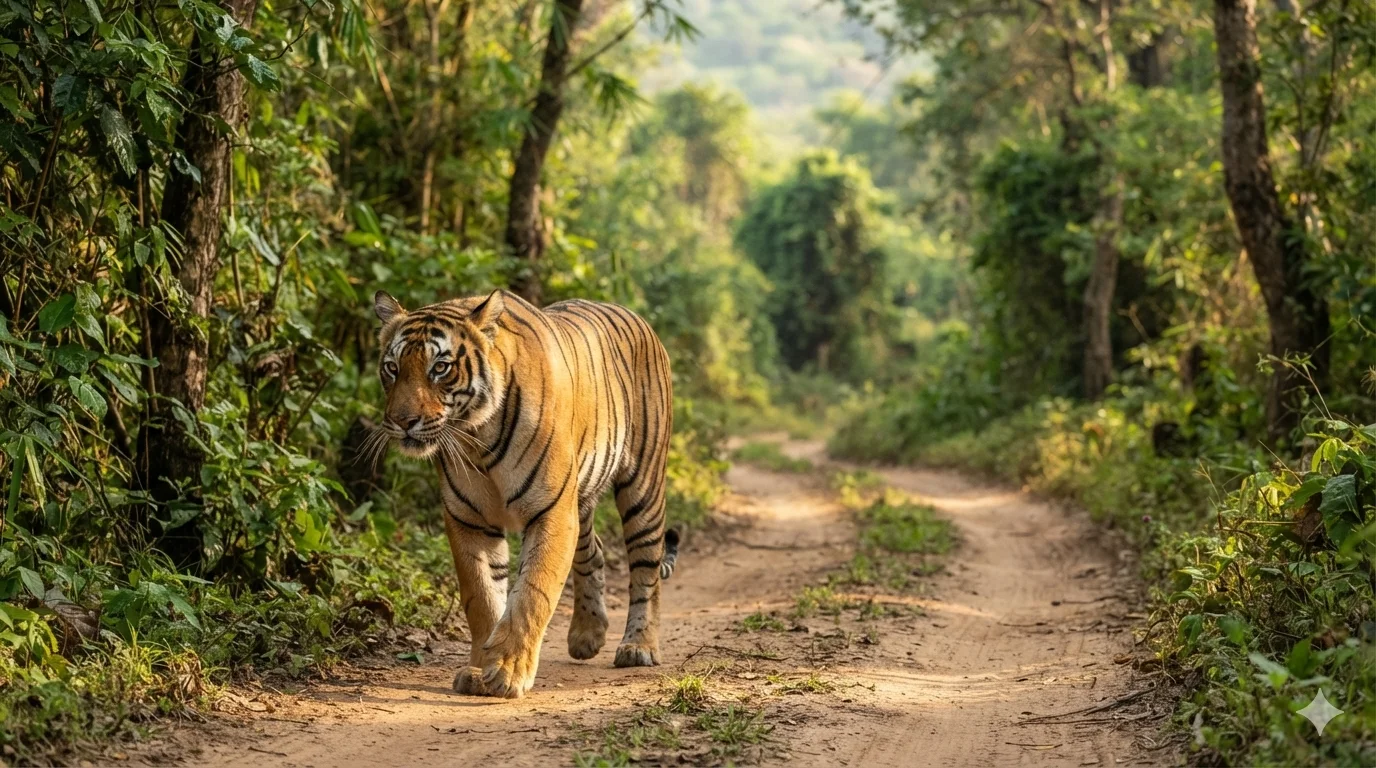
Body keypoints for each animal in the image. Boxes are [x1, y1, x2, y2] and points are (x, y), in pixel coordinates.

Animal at [370, 288, 679, 699]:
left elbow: (533, 593)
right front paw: (479, 670)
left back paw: (639, 646)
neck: (476, 438)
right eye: (392, 368)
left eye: (441, 367)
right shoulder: (469, 519)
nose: (402, 422)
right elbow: (483, 596)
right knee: (593, 552)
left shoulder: (551, 512)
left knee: (647, 568)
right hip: (580, 499)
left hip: (642, 487)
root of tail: (638, 318)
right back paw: (586, 635)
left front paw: (508, 671)